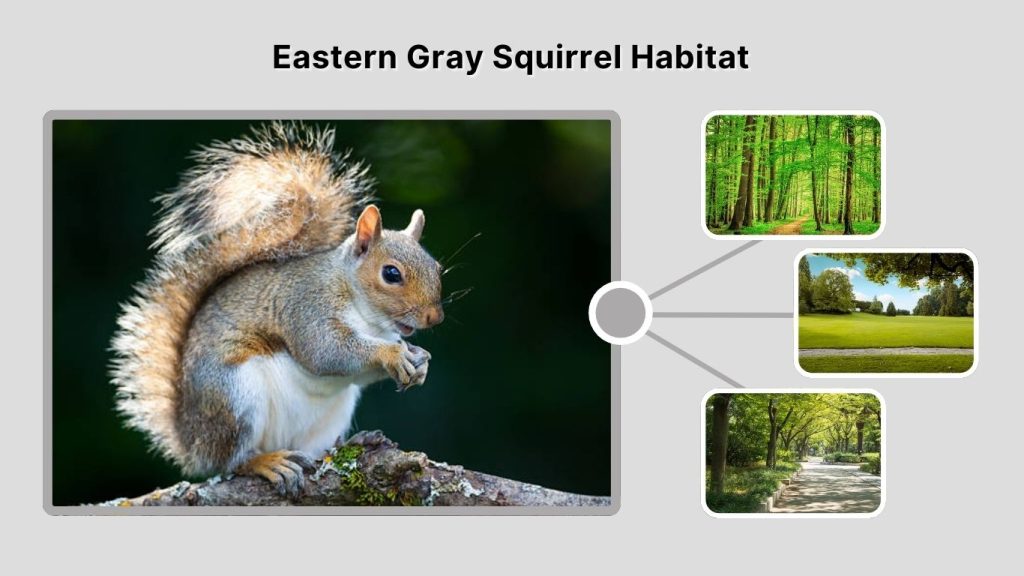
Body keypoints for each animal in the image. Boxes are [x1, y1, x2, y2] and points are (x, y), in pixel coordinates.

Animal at [110, 122, 445, 495]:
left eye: (437, 267)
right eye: (391, 274)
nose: (435, 317)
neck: (367, 316)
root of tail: (193, 440)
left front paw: (420, 360)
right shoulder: (307, 305)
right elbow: (325, 351)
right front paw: (393, 354)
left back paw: (352, 443)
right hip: (234, 396)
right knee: (233, 459)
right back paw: (265, 462)